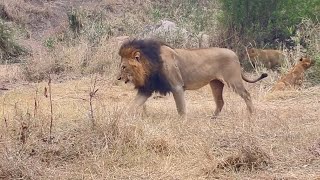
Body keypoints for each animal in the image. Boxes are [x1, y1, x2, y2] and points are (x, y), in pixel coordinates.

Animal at [117, 39, 268, 118]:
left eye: (124, 67)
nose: (118, 78)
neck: (149, 65)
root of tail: (234, 54)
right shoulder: (146, 89)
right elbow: (132, 104)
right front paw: (123, 117)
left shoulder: (177, 86)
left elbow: (181, 108)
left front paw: (182, 122)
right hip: (216, 83)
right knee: (220, 101)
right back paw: (213, 118)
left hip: (233, 81)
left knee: (247, 94)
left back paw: (252, 114)